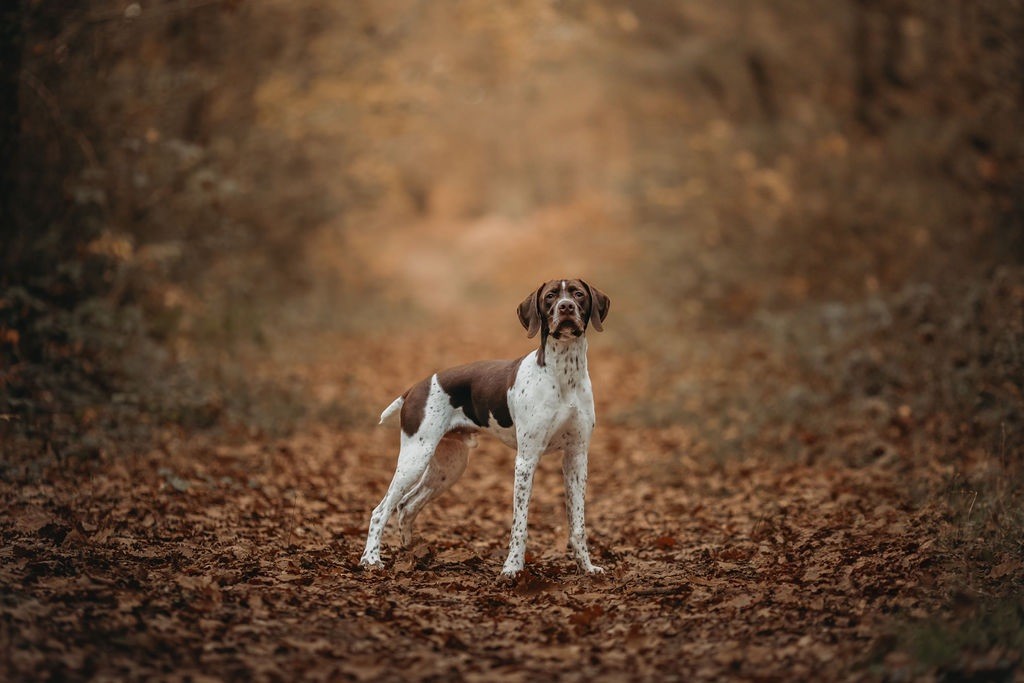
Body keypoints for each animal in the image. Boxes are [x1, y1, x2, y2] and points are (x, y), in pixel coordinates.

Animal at [360, 278, 606, 577]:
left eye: (578, 294)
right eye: (550, 297)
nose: (566, 307)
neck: (564, 375)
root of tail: (414, 388)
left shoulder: (576, 458)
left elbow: (578, 525)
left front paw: (587, 567)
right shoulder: (526, 460)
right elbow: (520, 525)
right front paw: (512, 568)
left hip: (448, 467)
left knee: (406, 505)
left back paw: (411, 553)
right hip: (415, 458)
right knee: (380, 510)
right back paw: (371, 559)